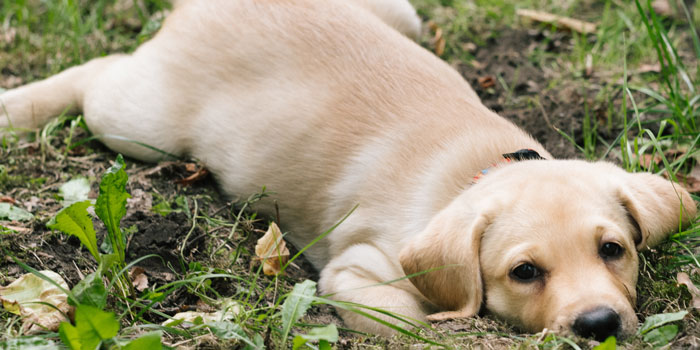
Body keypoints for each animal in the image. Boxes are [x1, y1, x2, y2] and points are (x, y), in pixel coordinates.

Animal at [1, 0, 696, 340]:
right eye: (524, 273)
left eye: (613, 250)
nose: (601, 326)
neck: (478, 172)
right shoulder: (355, 268)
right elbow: (413, 319)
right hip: (136, 123)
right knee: (100, 72)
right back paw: (18, 108)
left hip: (403, 12)